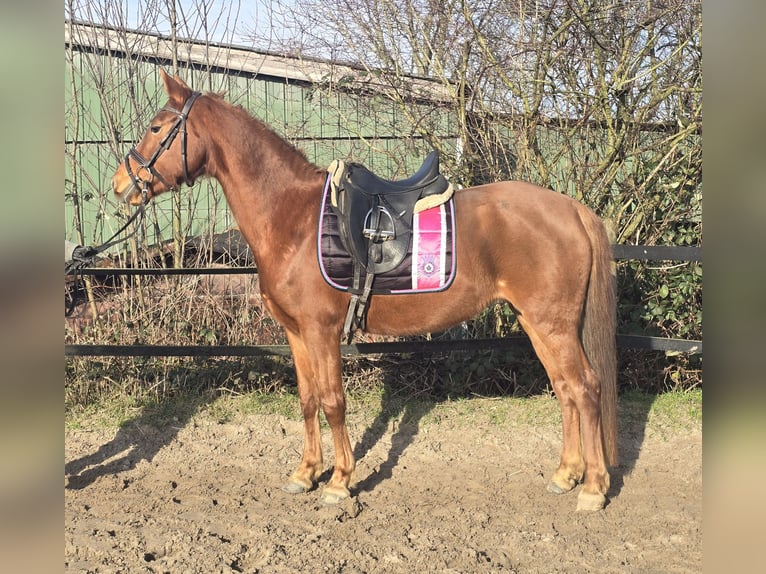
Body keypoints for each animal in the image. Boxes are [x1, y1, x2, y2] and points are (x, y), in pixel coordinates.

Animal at [112, 72, 616, 512]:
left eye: (156, 128)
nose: (121, 183)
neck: (292, 218)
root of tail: (571, 209)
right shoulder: (296, 333)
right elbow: (308, 400)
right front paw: (305, 474)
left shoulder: (322, 331)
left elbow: (334, 401)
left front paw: (339, 482)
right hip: (537, 322)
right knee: (565, 388)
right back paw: (565, 474)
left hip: (553, 324)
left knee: (585, 387)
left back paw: (593, 489)